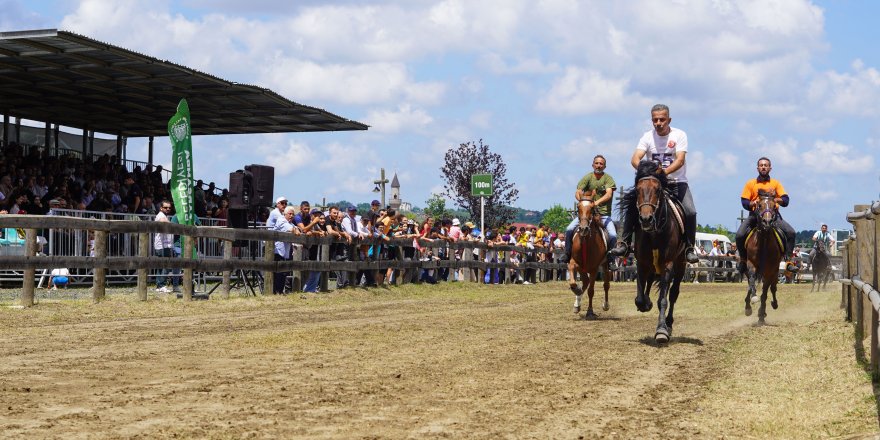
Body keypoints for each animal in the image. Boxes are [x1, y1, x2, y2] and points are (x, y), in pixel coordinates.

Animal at [616, 162, 684, 344]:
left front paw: (661, 330)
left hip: (680, 265)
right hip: (652, 266)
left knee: (673, 294)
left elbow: (663, 300)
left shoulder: (667, 264)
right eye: (638, 190)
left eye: (658, 190)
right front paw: (645, 304)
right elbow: (640, 295)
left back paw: (669, 323)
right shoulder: (641, 263)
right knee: (649, 283)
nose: (646, 219)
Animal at [744, 189, 784, 324]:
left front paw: (761, 314)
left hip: (774, 271)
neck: (763, 241)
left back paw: (771, 306)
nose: (767, 222)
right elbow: (751, 282)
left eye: (774, 206)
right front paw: (751, 302)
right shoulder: (751, 264)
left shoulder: (770, 270)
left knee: (772, 288)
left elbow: (765, 292)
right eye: (760, 205)